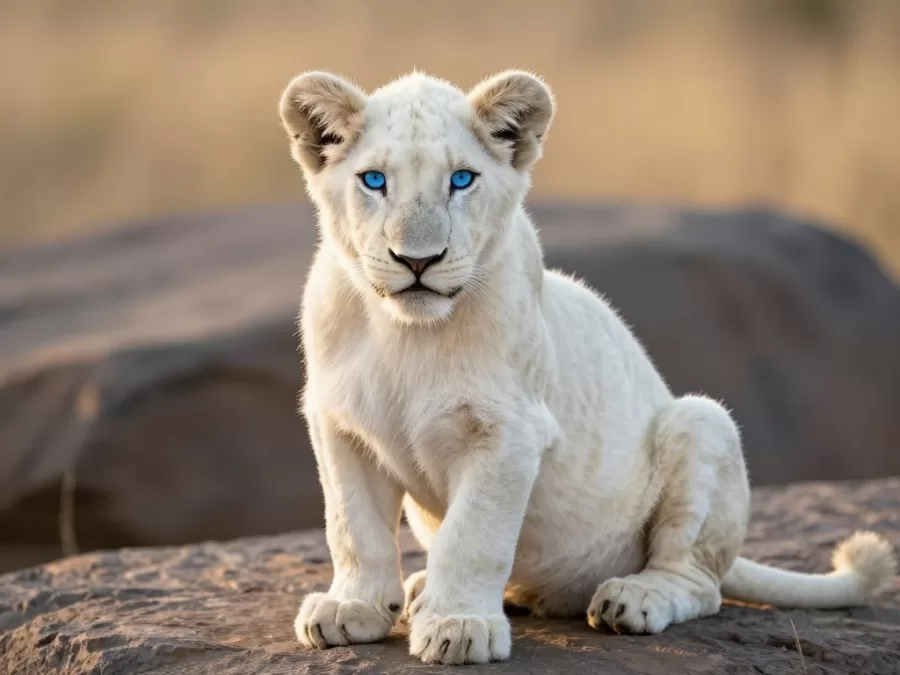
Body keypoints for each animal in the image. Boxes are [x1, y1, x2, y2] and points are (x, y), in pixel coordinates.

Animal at [277, 69, 896, 665]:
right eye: (374, 181)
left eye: (462, 180)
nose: (418, 260)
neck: (405, 332)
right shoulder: (338, 423)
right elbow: (352, 528)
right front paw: (351, 609)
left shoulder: (511, 431)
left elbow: (474, 536)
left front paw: (459, 627)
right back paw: (422, 590)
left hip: (701, 424)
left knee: (699, 581)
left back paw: (632, 599)